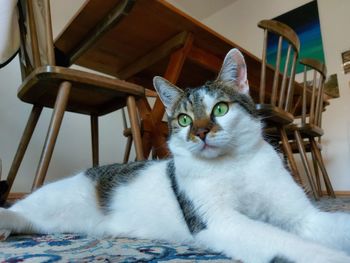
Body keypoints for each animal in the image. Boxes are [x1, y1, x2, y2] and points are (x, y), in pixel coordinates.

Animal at [0, 48, 350, 262]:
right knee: (17, 209)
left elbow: (333, 225)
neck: (234, 164)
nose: (201, 131)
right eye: (183, 119)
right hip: (55, 198)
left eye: (219, 109)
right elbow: (287, 242)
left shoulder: (303, 216)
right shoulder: (220, 222)